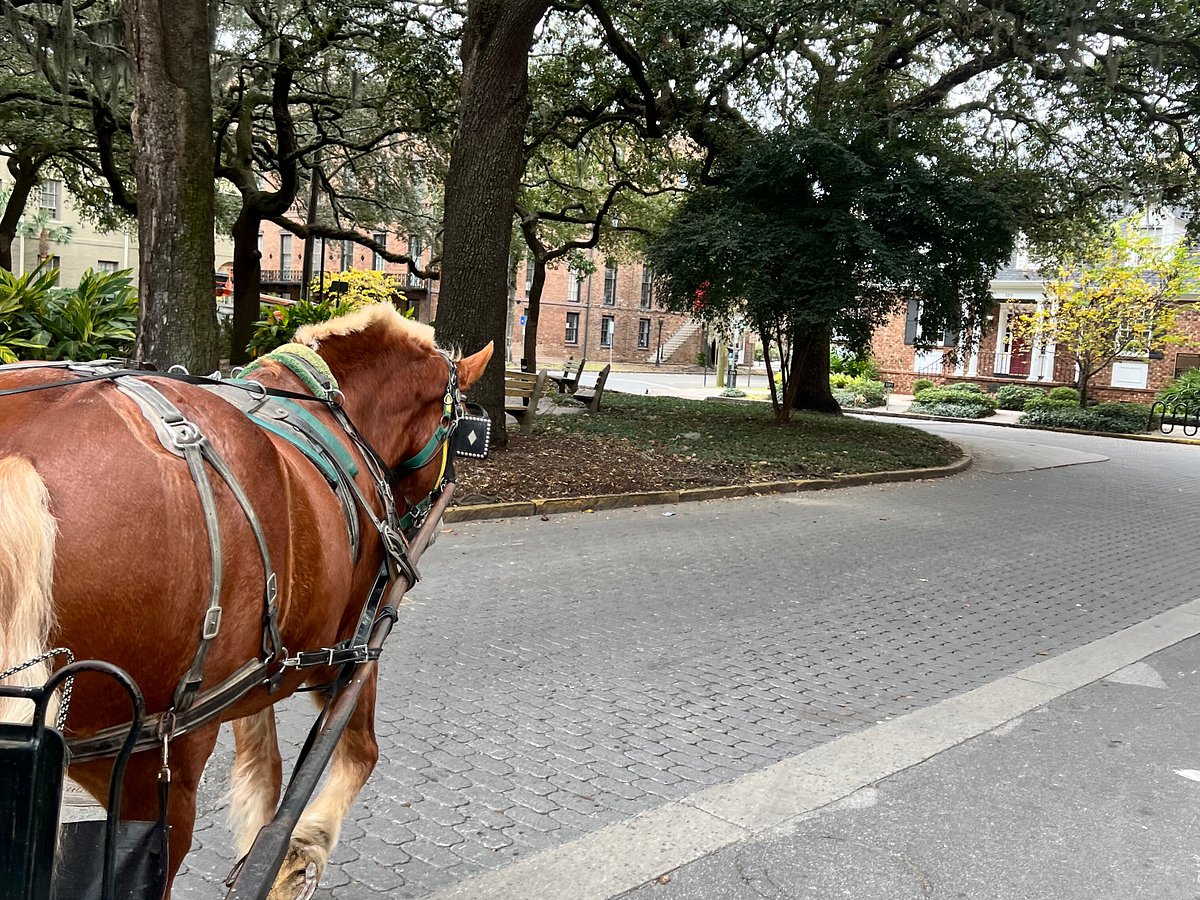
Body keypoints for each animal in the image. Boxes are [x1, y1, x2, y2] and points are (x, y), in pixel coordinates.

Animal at [0, 304, 492, 900]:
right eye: (456, 430)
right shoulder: (347, 645)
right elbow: (358, 750)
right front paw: (298, 854)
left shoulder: (262, 662)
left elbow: (264, 760)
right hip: (153, 761)